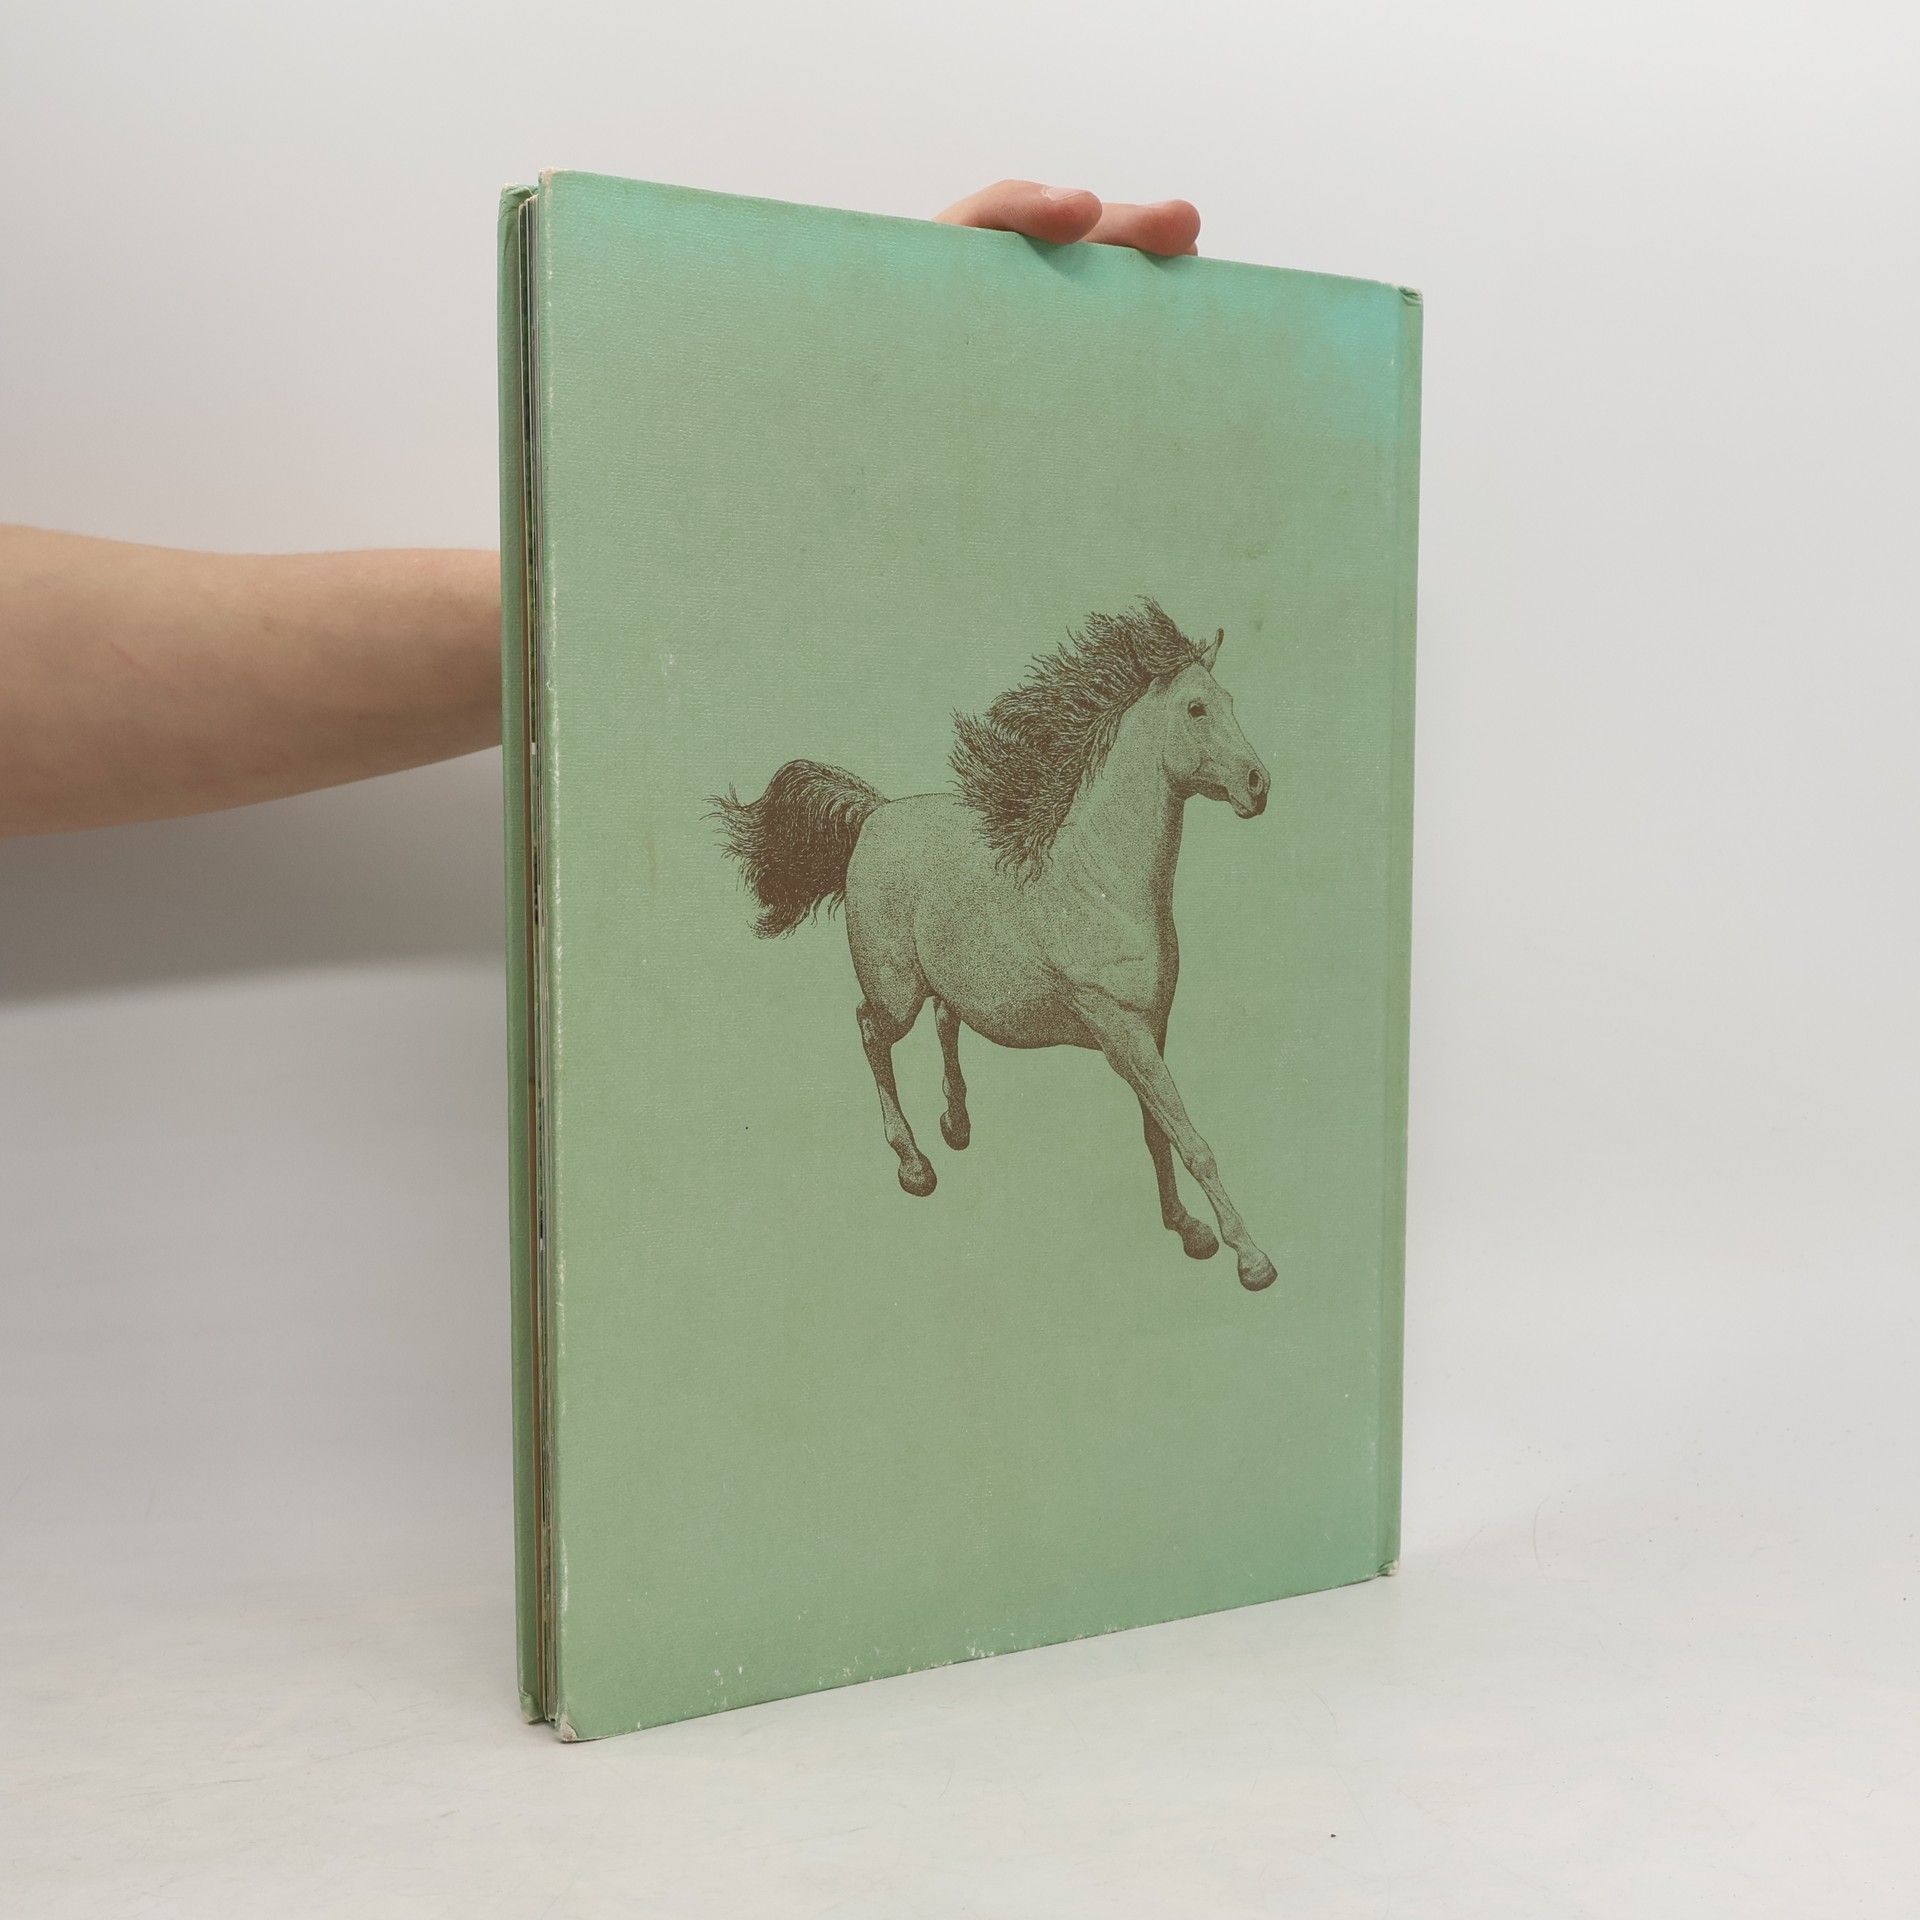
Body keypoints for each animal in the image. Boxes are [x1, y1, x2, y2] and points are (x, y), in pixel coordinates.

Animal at [712, 600, 1277, 1291]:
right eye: (1197, 708)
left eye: (1229, 700)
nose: (1258, 783)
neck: (1100, 883)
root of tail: (874, 815)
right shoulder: (1123, 1032)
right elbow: (1191, 1139)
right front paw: (1251, 1259)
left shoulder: (1152, 1027)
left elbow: (1156, 1133)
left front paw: (1187, 1230)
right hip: (893, 988)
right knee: (871, 1030)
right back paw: (914, 1165)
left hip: (946, 977)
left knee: (945, 1019)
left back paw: (955, 1125)